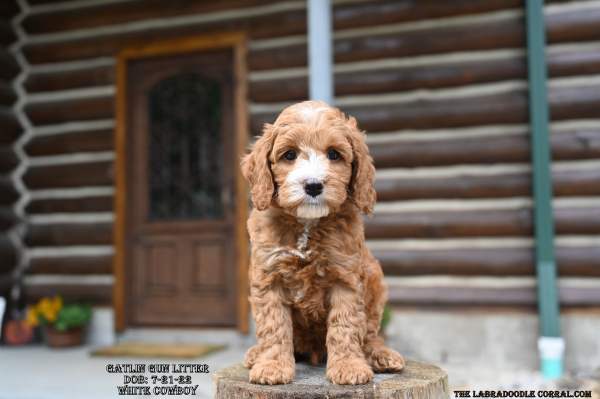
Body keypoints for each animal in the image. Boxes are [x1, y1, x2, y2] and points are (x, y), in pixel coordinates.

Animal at [239, 101, 404, 388]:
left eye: (334, 155)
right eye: (289, 155)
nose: (313, 185)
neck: (307, 224)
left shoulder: (346, 277)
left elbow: (346, 323)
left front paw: (349, 366)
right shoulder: (268, 277)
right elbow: (274, 325)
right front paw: (272, 366)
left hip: (375, 280)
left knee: (371, 332)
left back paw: (379, 354)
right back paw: (255, 354)